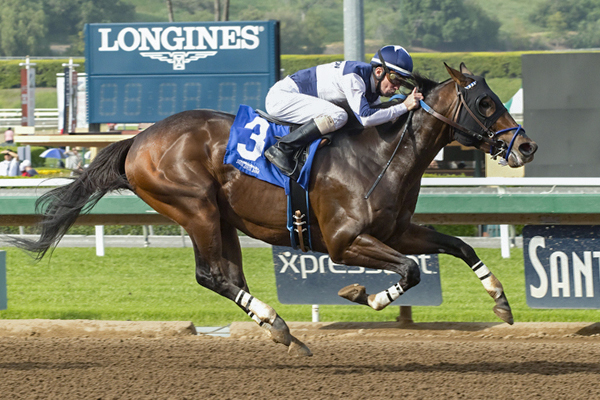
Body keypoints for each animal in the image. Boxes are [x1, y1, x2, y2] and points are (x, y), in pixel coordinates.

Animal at [16, 63, 536, 356]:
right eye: (485, 103)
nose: (526, 146)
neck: (381, 153)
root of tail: (138, 140)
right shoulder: (345, 242)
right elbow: (409, 271)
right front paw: (361, 295)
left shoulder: (397, 229)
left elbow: (458, 245)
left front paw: (501, 300)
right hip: (195, 208)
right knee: (211, 276)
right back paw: (279, 326)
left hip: (220, 217)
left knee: (228, 276)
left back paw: (279, 329)